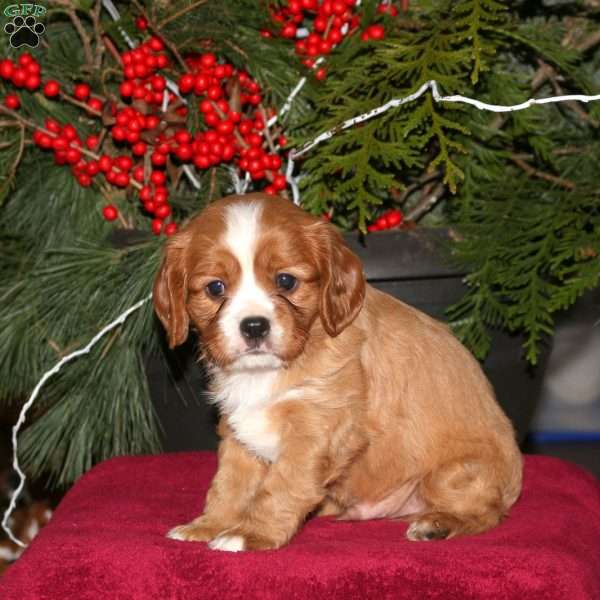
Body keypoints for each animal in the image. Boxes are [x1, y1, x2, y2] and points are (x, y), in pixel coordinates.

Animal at [154, 193, 520, 552]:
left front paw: (252, 534)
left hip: (451, 475)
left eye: (286, 281)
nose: (254, 326)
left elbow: (281, 486)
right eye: (215, 288)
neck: (267, 372)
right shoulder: (239, 430)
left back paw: (438, 524)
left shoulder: (318, 430)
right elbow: (230, 484)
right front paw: (210, 524)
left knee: (487, 511)